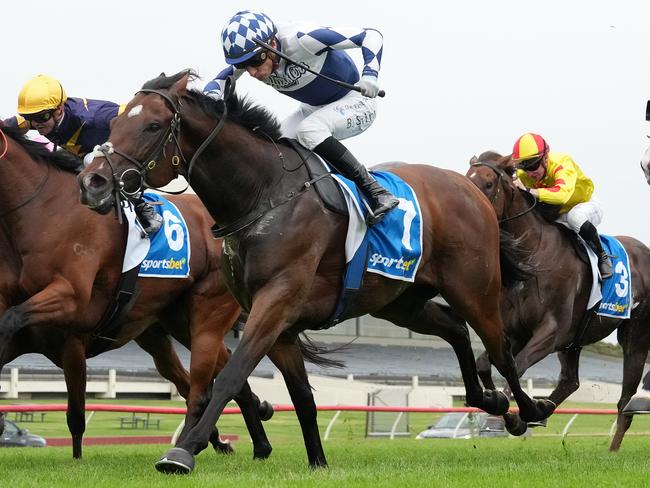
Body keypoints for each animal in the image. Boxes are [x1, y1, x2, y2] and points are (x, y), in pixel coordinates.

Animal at [0, 125, 274, 458]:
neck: (41, 214)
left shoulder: (72, 313)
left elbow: (75, 415)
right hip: (165, 329)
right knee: (199, 374)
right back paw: (248, 437)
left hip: (207, 313)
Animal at [77, 70, 552, 474]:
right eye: (115, 122)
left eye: (153, 126)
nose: (92, 183)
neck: (264, 195)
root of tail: (471, 188)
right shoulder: (279, 323)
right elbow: (302, 396)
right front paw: (318, 462)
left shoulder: (276, 301)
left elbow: (231, 375)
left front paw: (183, 451)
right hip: (400, 302)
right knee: (454, 327)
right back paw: (488, 398)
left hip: (475, 288)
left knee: (501, 349)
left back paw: (528, 410)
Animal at [464, 152, 648, 450]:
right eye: (466, 176)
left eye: (489, 183)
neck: (533, 256)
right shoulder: (516, 332)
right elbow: (488, 364)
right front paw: (508, 409)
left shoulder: (551, 331)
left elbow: (516, 365)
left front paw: (513, 416)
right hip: (574, 341)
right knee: (570, 381)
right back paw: (545, 408)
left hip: (635, 337)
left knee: (625, 400)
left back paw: (612, 449)